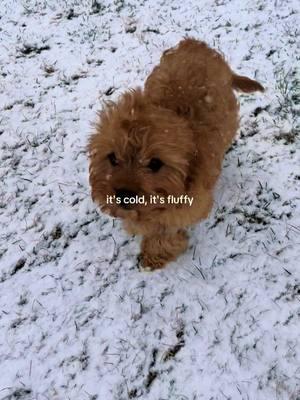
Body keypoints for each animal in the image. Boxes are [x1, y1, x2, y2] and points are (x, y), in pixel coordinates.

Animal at [88, 38, 264, 268]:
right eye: (112, 158)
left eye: (155, 163)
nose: (124, 195)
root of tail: (196, 43)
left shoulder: (191, 203)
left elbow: (167, 228)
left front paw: (156, 253)